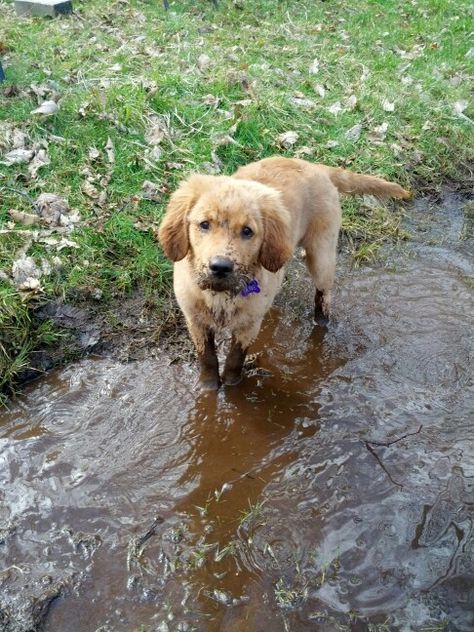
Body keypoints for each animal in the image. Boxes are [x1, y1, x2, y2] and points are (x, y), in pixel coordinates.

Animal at [157, 156, 410, 388]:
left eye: (247, 231)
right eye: (204, 224)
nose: (220, 266)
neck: (220, 295)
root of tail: (316, 166)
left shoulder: (248, 326)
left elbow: (233, 362)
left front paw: (230, 389)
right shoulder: (195, 321)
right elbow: (207, 358)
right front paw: (208, 388)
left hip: (322, 254)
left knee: (323, 297)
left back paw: (321, 323)